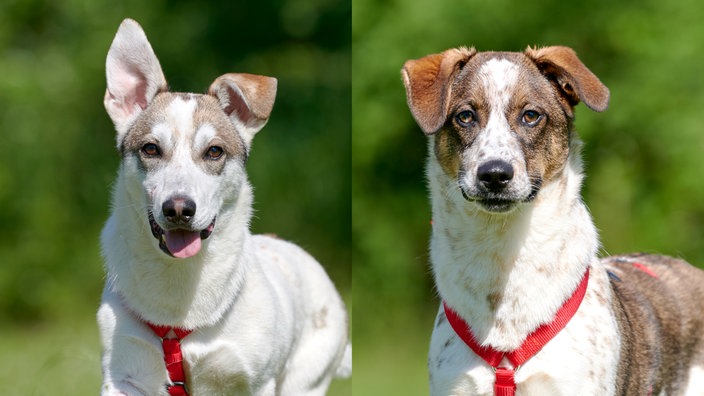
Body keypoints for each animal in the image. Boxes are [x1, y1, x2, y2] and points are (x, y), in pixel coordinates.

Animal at [97, 19, 350, 396]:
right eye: (150, 149)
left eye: (214, 151)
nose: (178, 209)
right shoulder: (124, 375)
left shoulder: (250, 381)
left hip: (307, 378)